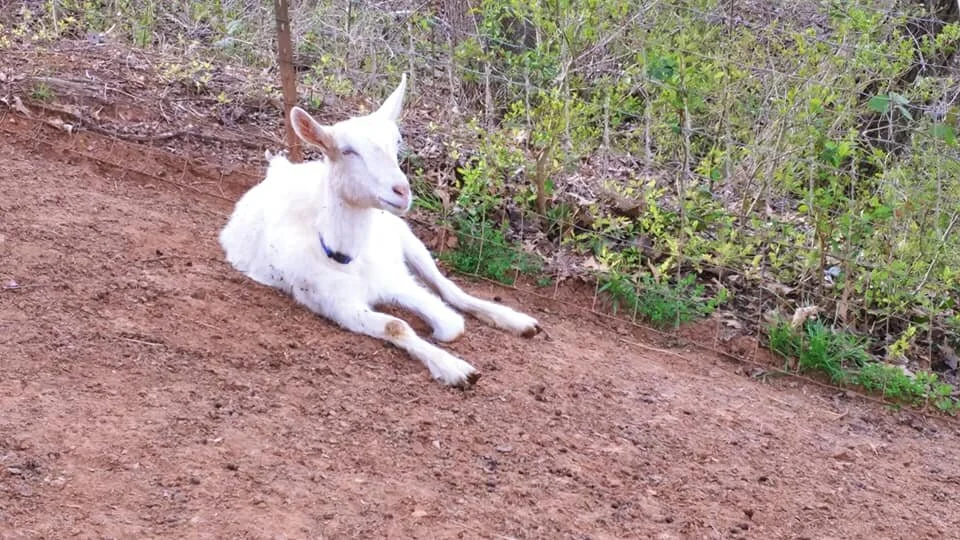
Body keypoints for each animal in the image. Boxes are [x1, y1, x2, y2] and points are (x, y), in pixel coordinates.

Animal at [218, 75, 541, 388]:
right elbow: (397, 325)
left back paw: (519, 321)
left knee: (449, 287)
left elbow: (451, 323)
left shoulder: (397, 279)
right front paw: (455, 368)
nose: (402, 190)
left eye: (397, 143)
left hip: (406, 236)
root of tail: (281, 168)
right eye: (347, 151)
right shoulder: (333, 303)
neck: (346, 256)